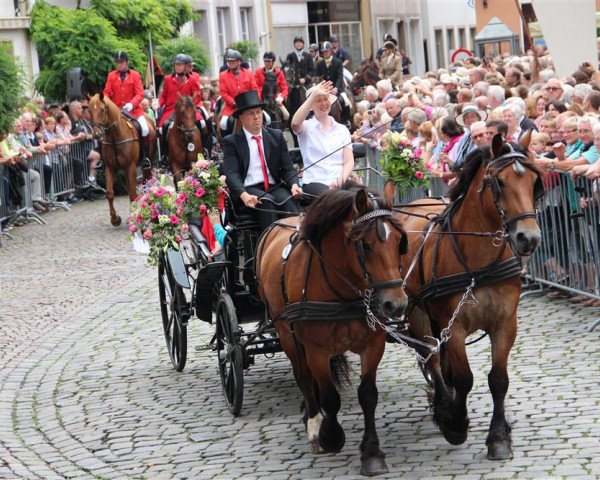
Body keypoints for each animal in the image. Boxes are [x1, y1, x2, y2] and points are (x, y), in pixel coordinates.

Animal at [88, 95, 156, 229]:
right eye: (89, 111)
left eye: (103, 110)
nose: (97, 134)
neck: (114, 137)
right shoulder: (109, 168)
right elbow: (110, 193)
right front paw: (115, 219)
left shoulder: (130, 167)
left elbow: (133, 193)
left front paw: (133, 218)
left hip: (145, 164)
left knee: (147, 182)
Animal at [255, 183, 410, 476]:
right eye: (366, 245)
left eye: (400, 242)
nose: (395, 304)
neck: (341, 292)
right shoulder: (317, 350)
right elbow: (330, 397)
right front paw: (329, 436)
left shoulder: (373, 345)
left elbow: (368, 395)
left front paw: (372, 454)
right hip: (287, 333)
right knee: (304, 377)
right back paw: (314, 421)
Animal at [398, 134, 544, 462]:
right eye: (499, 182)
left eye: (533, 182)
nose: (528, 239)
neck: (479, 262)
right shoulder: (455, 327)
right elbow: (465, 378)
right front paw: (455, 423)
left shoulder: (506, 324)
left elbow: (498, 379)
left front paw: (499, 438)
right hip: (417, 313)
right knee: (431, 356)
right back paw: (444, 405)